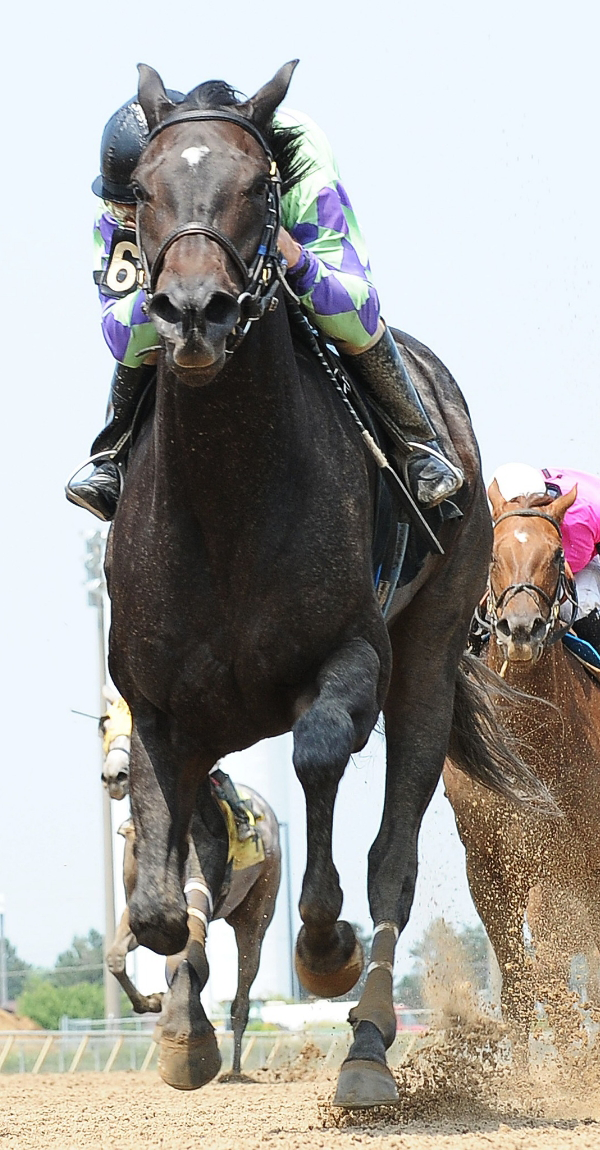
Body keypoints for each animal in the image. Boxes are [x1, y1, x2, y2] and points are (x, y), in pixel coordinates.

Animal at [101, 702, 281, 1078]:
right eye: (105, 726)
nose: (114, 776)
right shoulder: (142, 911)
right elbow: (116, 957)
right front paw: (153, 1002)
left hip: (258, 911)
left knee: (243, 992)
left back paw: (235, 1070)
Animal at [444, 479, 600, 1055]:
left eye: (556, 555)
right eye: (492, 554)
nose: (521, 629)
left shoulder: (567, 865)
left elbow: (556, 974)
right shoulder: (489, 866)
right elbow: (517, 981)